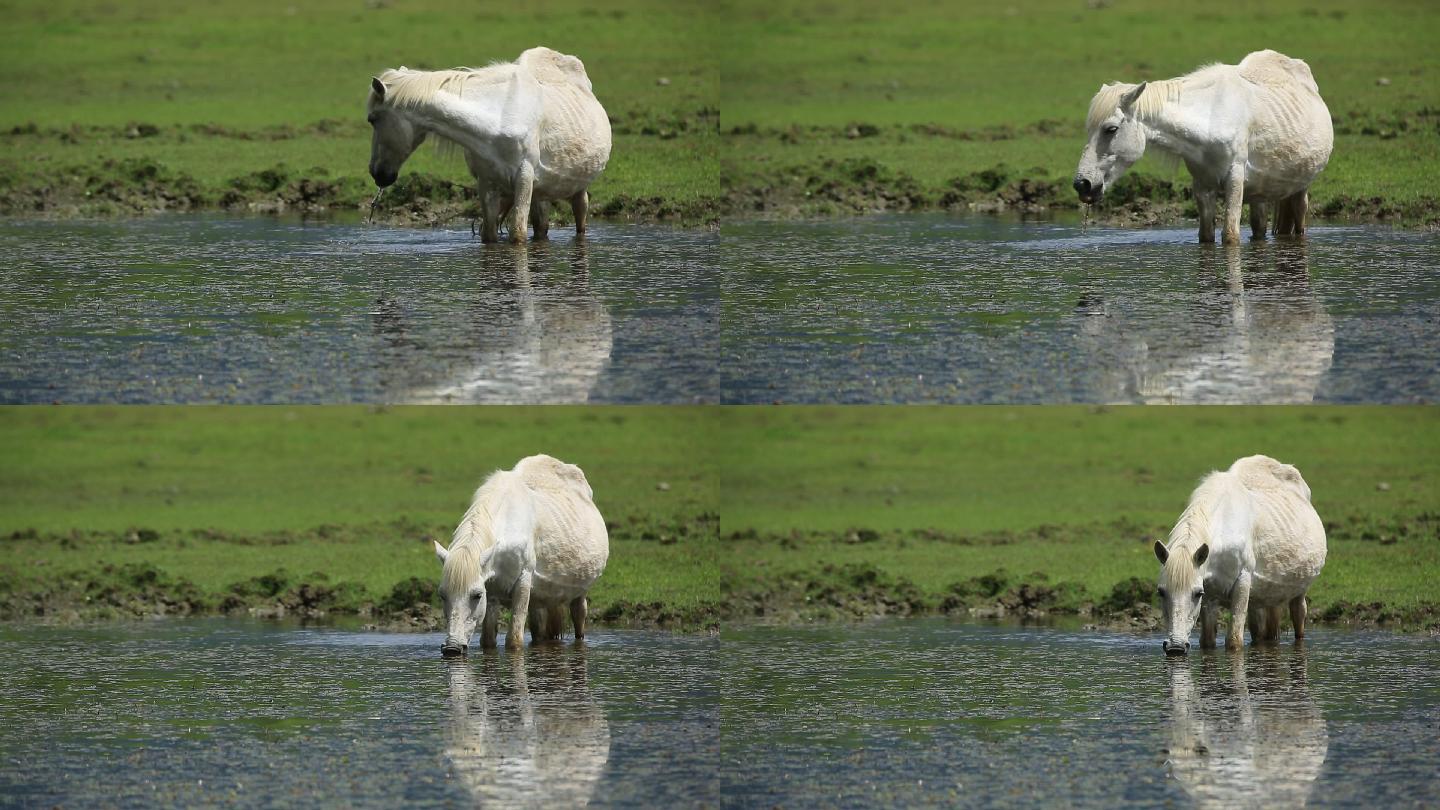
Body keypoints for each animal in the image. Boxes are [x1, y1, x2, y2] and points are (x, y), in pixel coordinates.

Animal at [368, 46, 610, 242]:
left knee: (580, 221)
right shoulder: (486, 182)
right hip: (541, 192)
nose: (377, 174)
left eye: (372, 119)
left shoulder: (524, 177)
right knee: (541, 228)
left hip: (578, 191)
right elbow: (490, 235)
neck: (498, 117)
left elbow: (517, 234)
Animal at [429, 449, 604, 651]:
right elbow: (487, 641)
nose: (452, 649)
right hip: (539, 599)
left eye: (477, 595)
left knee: (579, 620)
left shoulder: (523, 581)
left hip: (579, 595)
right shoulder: (492, 590)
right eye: (442, 595)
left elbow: (514, 640)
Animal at [1077, 50, 1330, 242]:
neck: (1210, 118)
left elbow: (1230, 236)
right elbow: (1206, 237)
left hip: (1300, 189)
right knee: (1259, 229)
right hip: (1260, 193)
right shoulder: (1202, 186)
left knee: (1300, 224)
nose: (1082, 184)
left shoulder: (1235, 179)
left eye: (1111, 129)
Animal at [1157, 449, 1324, 651]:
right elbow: (1207, 642)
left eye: (1197, 593)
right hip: (1263, 598)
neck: (1225, 527)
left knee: (1298, 618)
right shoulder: (1210, 594)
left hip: (1299, 593)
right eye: (1161, 592)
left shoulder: (1242, 581)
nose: (1176, 647)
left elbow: (1234, 641)